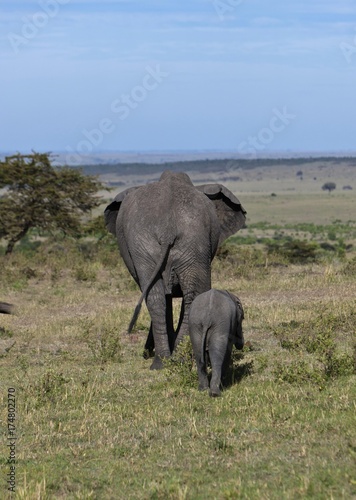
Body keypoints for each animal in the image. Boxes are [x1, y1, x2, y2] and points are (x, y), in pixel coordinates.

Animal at [104, 170, 246, 370]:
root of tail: (167, 228)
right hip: (181, 242)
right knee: (177, 296)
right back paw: (172, 360)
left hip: (170, 243)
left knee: (161, 296)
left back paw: (168, 360)